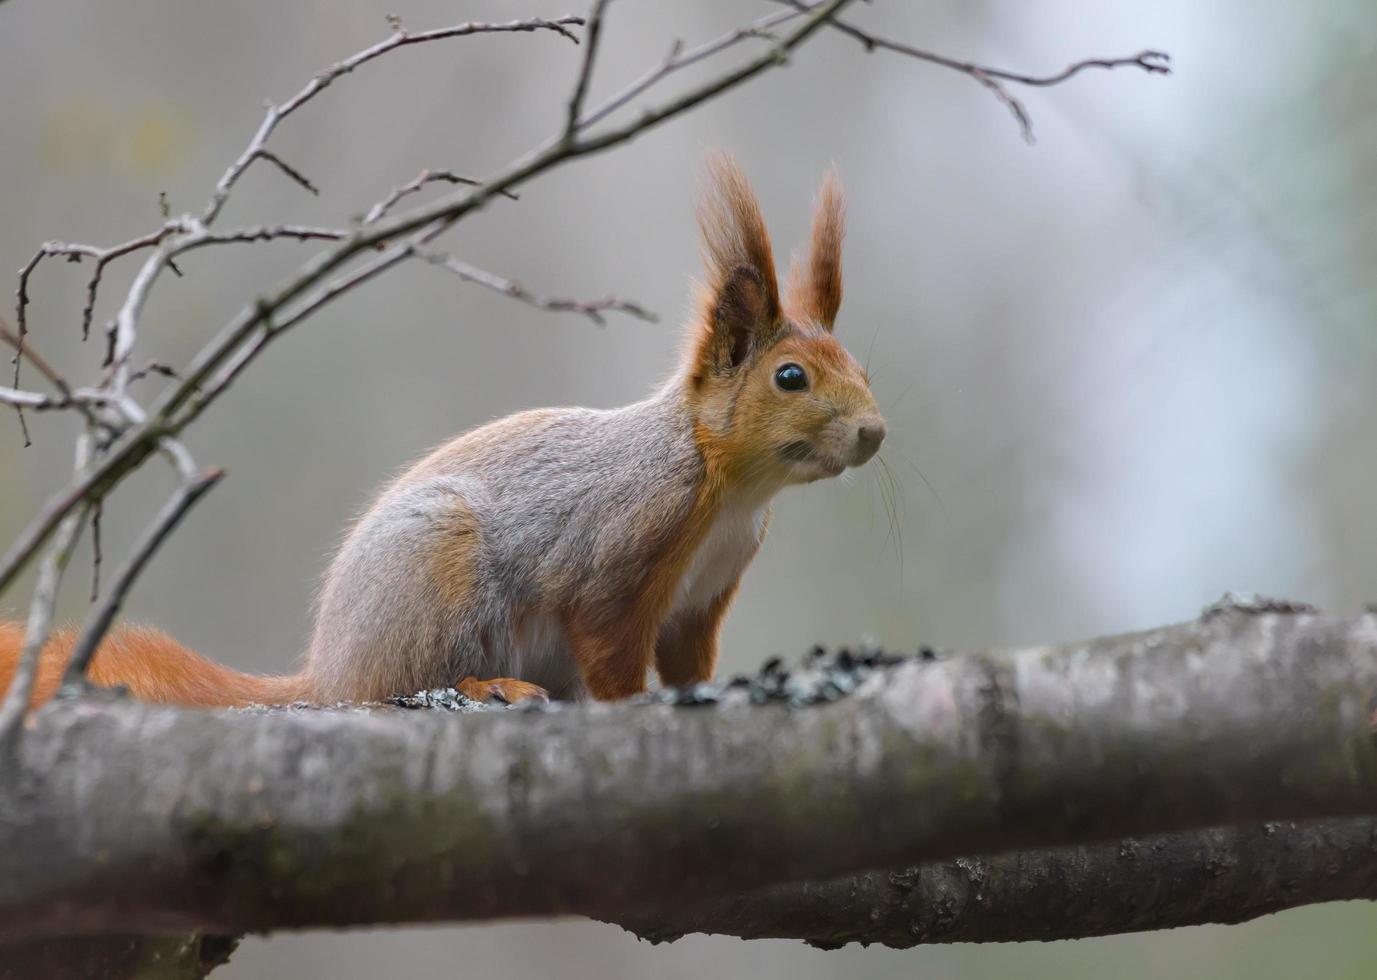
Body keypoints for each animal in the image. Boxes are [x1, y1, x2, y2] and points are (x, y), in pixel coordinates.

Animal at [0, 156, 881, 710]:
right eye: (791, 378)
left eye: (857, 363)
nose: (874, 433)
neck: (730, 489)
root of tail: (327, 670)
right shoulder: (621, 551)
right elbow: (609, 648)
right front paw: (631, 704)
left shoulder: (702, 598)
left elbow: (689, 660)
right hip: (438, 577)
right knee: (399, 684)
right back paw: (485, 685)